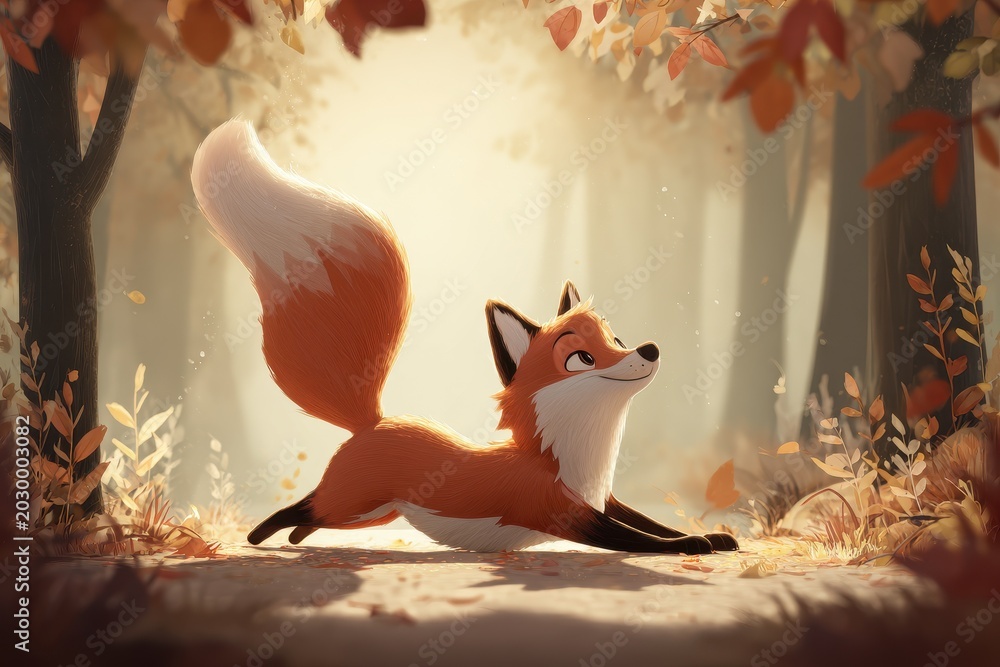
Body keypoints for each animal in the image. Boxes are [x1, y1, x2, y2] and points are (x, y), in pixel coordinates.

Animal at [190, 120, 739, 555]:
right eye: (580, 358)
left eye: (616, 338)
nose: (649, 349)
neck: (568, 456)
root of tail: (373, 420)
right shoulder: (561, 511)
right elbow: (640, 539)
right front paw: (694, 543)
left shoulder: (601, 499)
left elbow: (649, 523)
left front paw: (716, 536)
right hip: (352, 505)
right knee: (300, 508)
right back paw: (259, 538)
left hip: (373, 514)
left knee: (308, 516)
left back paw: (294, 540)